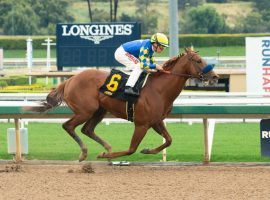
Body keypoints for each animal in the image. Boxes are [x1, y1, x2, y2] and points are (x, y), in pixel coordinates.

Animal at [26, 48, 218, 161]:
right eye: (198, 61)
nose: (215, 76)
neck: (159, 89)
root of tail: (70, 79)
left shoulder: (156, 121)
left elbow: (169, 140)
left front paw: (147, 150)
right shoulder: (142, 124)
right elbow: (131, 149)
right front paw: (106, 155)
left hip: (99, 110)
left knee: (87, 129)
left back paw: (105, 147)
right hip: (85, 111)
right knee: (68, 126)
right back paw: (86, 152)